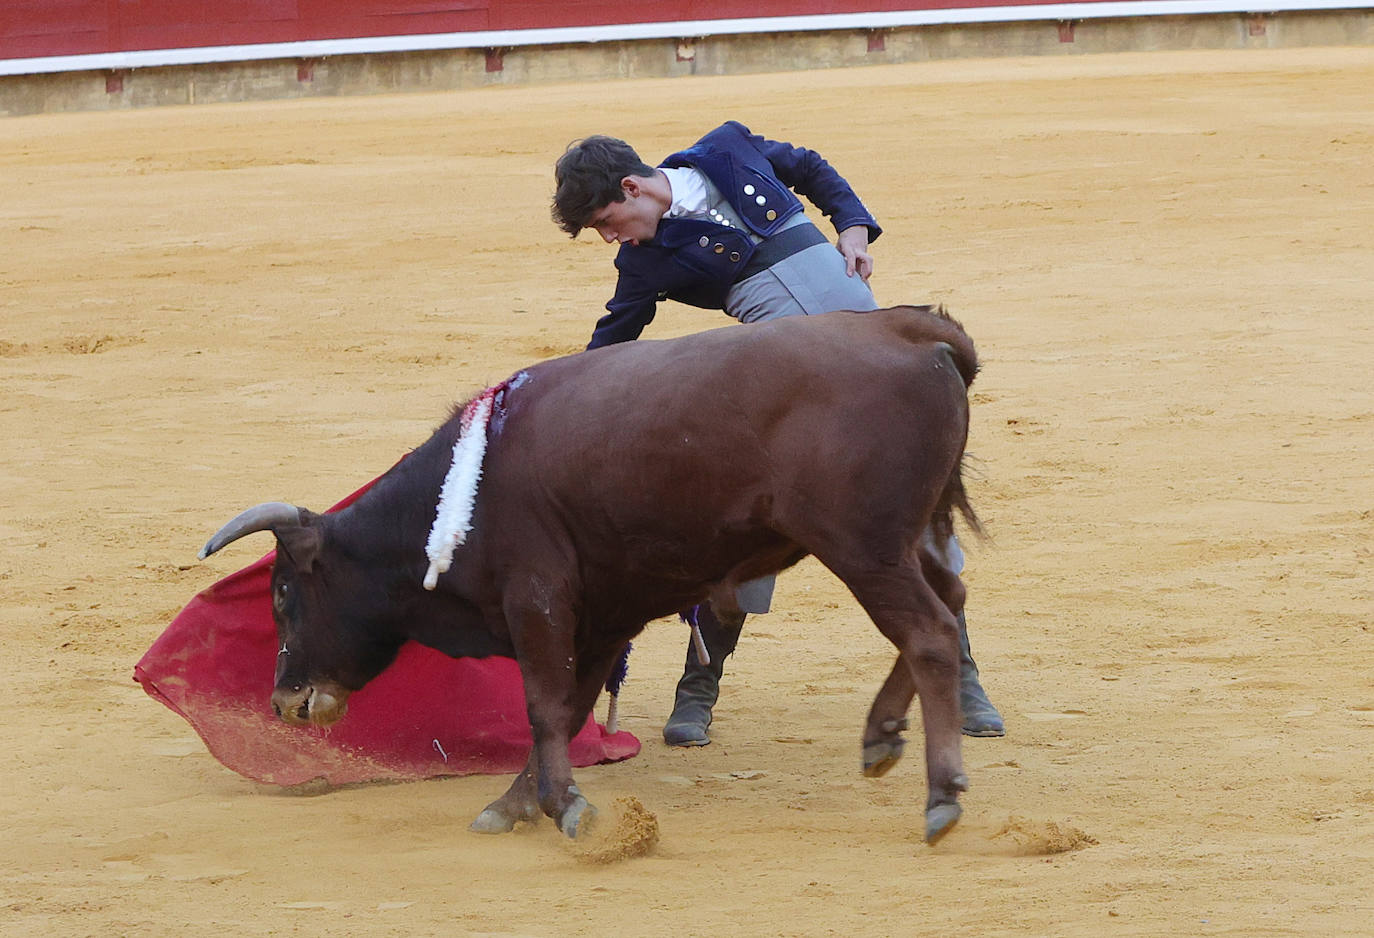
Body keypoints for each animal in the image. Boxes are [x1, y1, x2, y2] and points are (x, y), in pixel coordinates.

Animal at [199, 306, 983, 845]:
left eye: (282, 594)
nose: (283, 700)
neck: (465, 491)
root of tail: (911, 331)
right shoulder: (604, 613)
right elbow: (570, 708)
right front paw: (515, 805)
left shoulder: (537, 600)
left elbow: (545, 707)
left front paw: (565, 806)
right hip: (912, 538)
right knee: (950, 603)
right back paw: (881, 738)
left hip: (863, 548)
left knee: (929, 633)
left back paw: (941, 796)